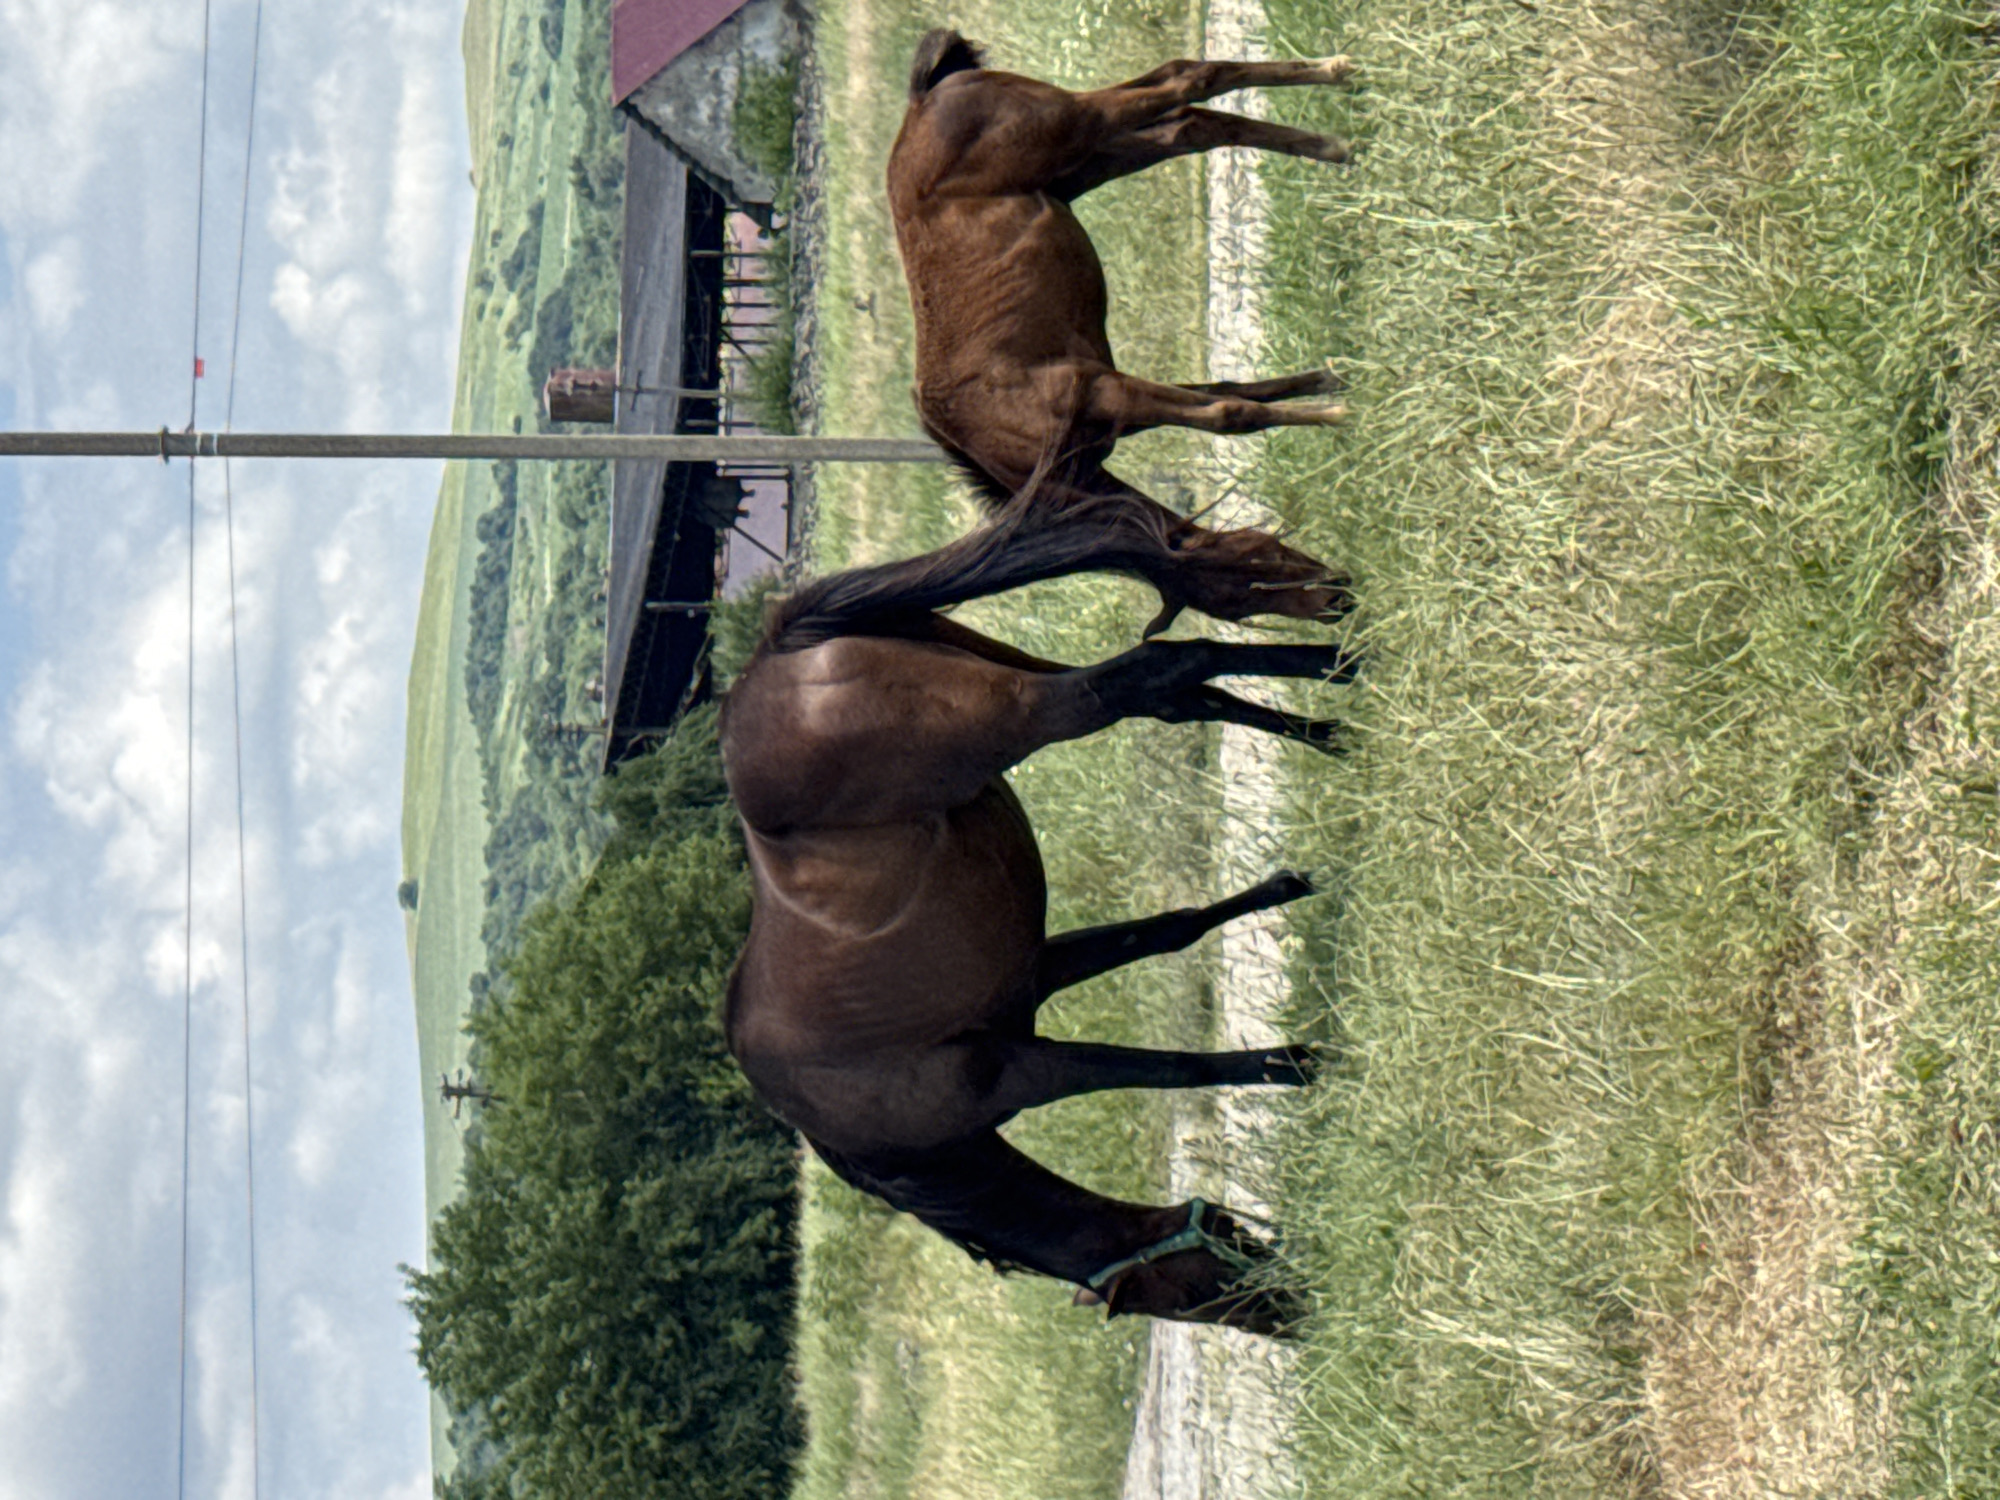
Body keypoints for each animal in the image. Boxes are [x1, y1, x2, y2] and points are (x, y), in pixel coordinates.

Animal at [719, 485, 1352, 1334]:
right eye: (1196, 1300)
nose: (1296, 1314)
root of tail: (778, 652)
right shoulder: (1034, 979)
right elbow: (1170, 937)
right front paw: (1288, 900)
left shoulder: (1021, 1071)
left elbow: (1173, 1066)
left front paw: (1302, 1061)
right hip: (1013, 672)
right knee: (1178, 690)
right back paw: (1333, 713)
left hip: (1028, 705)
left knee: (1169, 667)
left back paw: (1343, 661)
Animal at [888, 30, 1360, 636]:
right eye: (1241, 591)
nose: (1338, 599)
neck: (1002, 430)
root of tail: (923, 98)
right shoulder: (1121, 398)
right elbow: (1234, 395)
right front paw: (1334, 383)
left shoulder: (1106, 392)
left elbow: (1230, 415)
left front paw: (1339, 414)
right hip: (1096, 155)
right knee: (1188, 123)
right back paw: (1336, 142)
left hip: (1075, 125)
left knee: (1188, 80)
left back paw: (1337, 76)